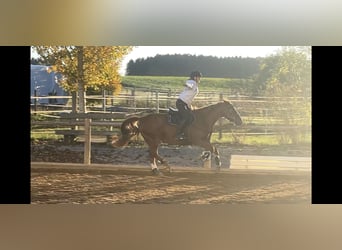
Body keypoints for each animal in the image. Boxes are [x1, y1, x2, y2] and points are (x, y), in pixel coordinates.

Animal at [112, 99, 243, 174]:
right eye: (231, 109)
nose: (240, 121)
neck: (203, 118)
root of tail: (142, 119)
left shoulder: (204, 141)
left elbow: (211, 150)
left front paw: (205, 156)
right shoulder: (198, 140)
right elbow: (215, 149)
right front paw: (218, 166)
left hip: (153, 141)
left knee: (152, 154)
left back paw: (156, 170)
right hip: (153, 140)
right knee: (153, 154)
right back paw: (166, 166)